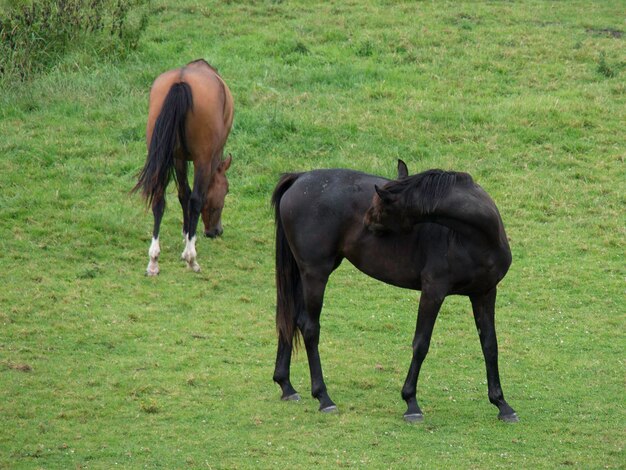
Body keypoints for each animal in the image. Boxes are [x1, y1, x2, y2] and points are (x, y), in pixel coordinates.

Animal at [132, 60, 232, 278]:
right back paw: (191, 259)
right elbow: (193, 197)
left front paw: (186, 234)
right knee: (195, 200)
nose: (216, 231)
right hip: (202, 159)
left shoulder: (178, 158)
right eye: (227, 190)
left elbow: (182, 194)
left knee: (159, 200)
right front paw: (189, 244)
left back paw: (153, 260)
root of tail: (181, 81)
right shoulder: (207, 158)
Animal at [270, 161, 516, 422]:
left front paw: (502, 404)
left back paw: (287, 386)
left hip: (305, 273)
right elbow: (421, 344)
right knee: (309, 327)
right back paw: (323, 397)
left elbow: (490, 345)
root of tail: (299, 178)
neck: (476, 238)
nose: (366, 224)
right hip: (315, 273)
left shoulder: (485, 293)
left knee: (291, 319)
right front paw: (411, 403)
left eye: (381, 205)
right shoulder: (433, 291)